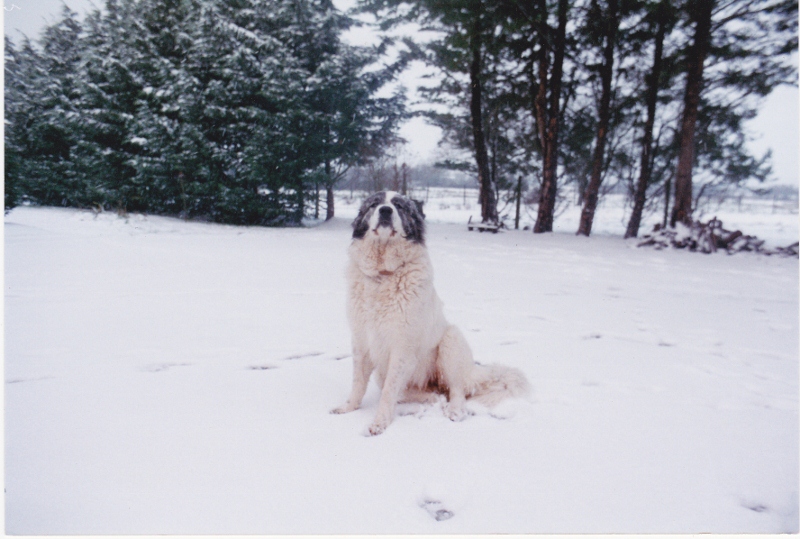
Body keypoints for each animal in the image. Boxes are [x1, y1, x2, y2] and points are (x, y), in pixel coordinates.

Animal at [332, 190, 532, 434]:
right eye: (375, 204)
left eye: (399, 206)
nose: (386, 210)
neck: (383, 274)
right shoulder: (361, 341)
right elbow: (358, 384)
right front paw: (348, 408)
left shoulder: (402, 347)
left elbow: (388, 392)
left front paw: (379, 423)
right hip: (388, 373)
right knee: (427, 392)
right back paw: (432, 399)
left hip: (450, 341)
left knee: (456, 390)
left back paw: (454, 410)